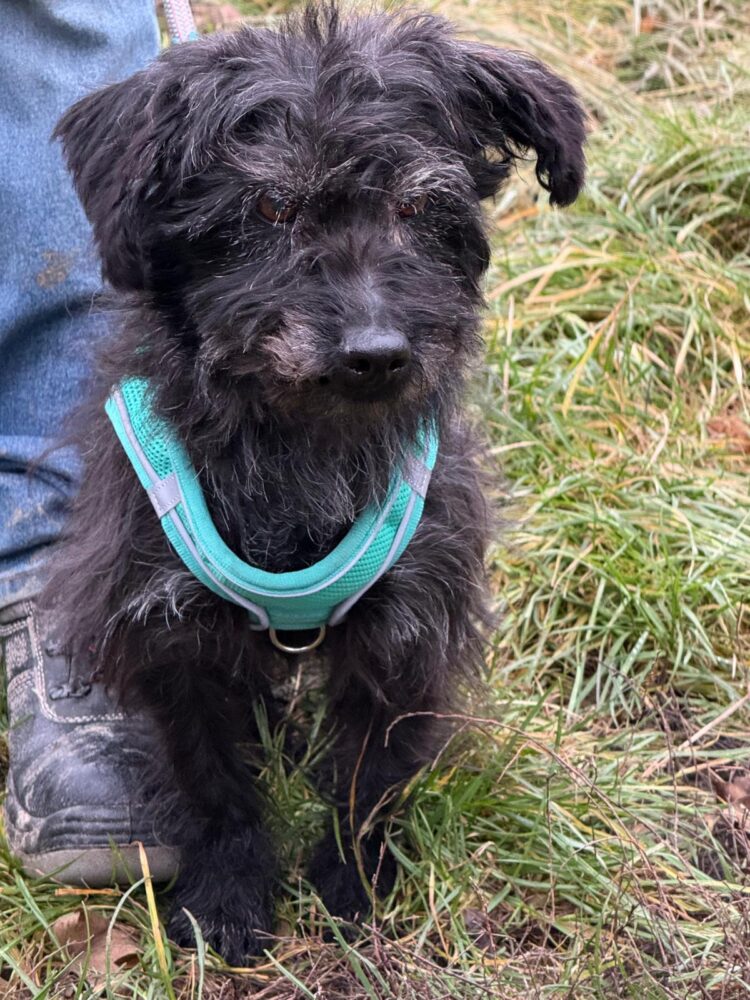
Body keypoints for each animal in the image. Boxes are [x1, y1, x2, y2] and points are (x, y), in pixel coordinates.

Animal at [46, 3, 585, 964]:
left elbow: (370, 779)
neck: (300, 443)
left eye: (417, 207)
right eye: (270, 206)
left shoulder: (409, 631)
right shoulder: (171, 636)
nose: (378, 352)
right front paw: (228, 896)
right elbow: (214, 780)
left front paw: (353, 887)